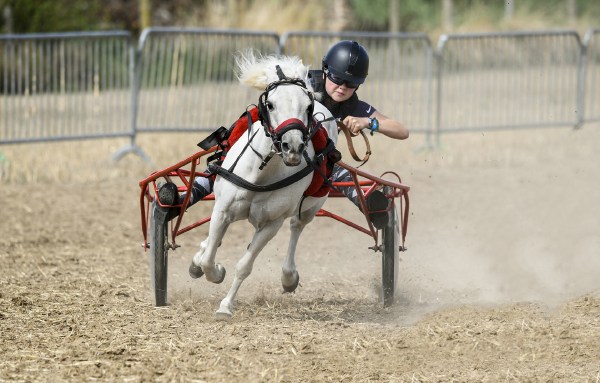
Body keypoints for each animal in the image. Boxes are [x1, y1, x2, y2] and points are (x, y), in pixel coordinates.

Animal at [190, 51, 338, 320]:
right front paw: (213, 269)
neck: (261, 173)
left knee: (297, 225)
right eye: (270, 105)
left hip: (312, 204)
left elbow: (244, 265)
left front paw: (225, 306)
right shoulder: (222, 210)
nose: (293, 147)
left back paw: (289, 277)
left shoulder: (271, 223)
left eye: (307, 106)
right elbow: (208, 258)